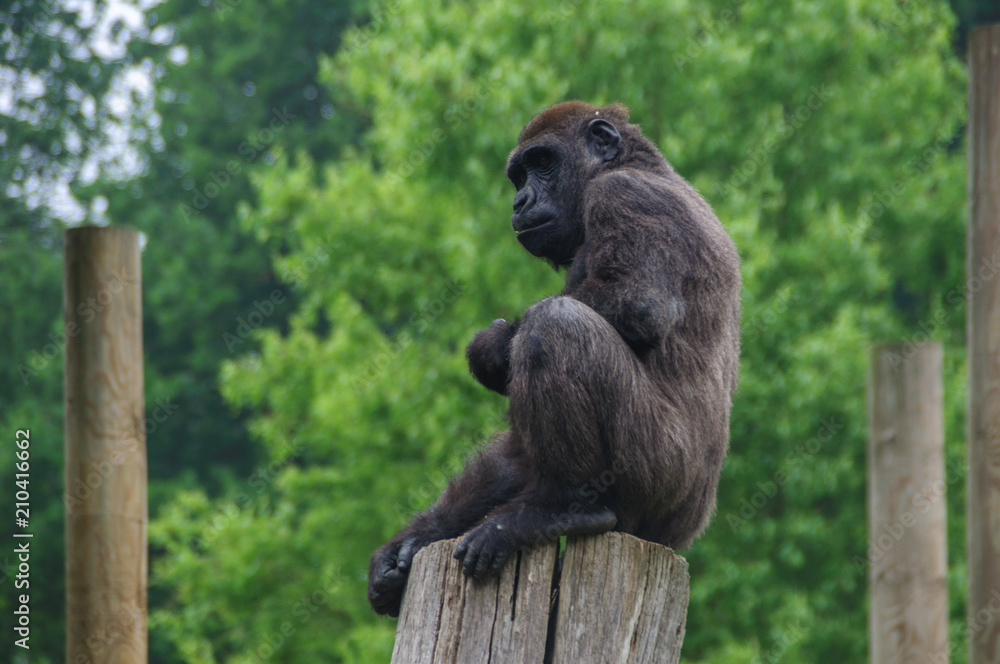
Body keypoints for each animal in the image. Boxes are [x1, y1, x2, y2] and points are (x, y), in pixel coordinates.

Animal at [367, 101, 741, 617]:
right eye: (519, 175)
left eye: (543, 162)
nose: (520, 201)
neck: (635, 164)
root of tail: (682, 534)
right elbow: (514, 456)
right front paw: (414, 539)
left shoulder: (624, 195)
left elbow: (639, 302)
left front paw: (492, 346)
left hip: (662, 483)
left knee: (554, 328)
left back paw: (562, 510)